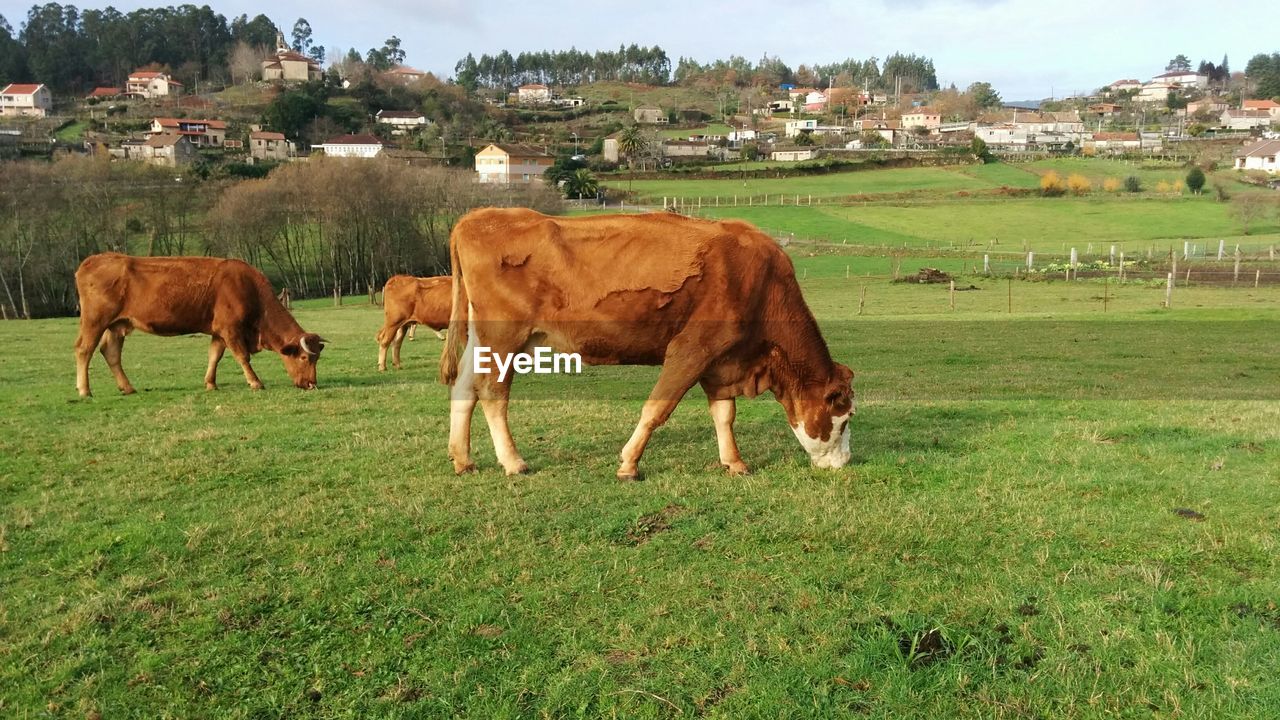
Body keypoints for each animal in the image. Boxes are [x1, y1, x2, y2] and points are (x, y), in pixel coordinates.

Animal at [72, 252, 327, 394]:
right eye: (304, 358)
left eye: (317, 359)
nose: (312, 384)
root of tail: (92, 261)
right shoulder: (231, 330)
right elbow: (243, 357)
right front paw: (255, 382)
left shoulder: (219, 332)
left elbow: (214, 356)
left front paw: (211, 383)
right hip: (95, 321)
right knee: (84, 350)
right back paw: (85, 390)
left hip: (117, 325)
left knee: (111, 352)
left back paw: (127, 387)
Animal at [435, 207, 855, 476]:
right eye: (846, 417)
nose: (847, 462)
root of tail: (478, 217)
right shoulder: (691, 349)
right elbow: (657, 408)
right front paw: (628, 464)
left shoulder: (721, 359)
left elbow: (724, 414)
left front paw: (734, 462)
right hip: (505, 337)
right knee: (492, 392)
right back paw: (513, 462)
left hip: (482, 338)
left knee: (464, 388)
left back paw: (463, 459)